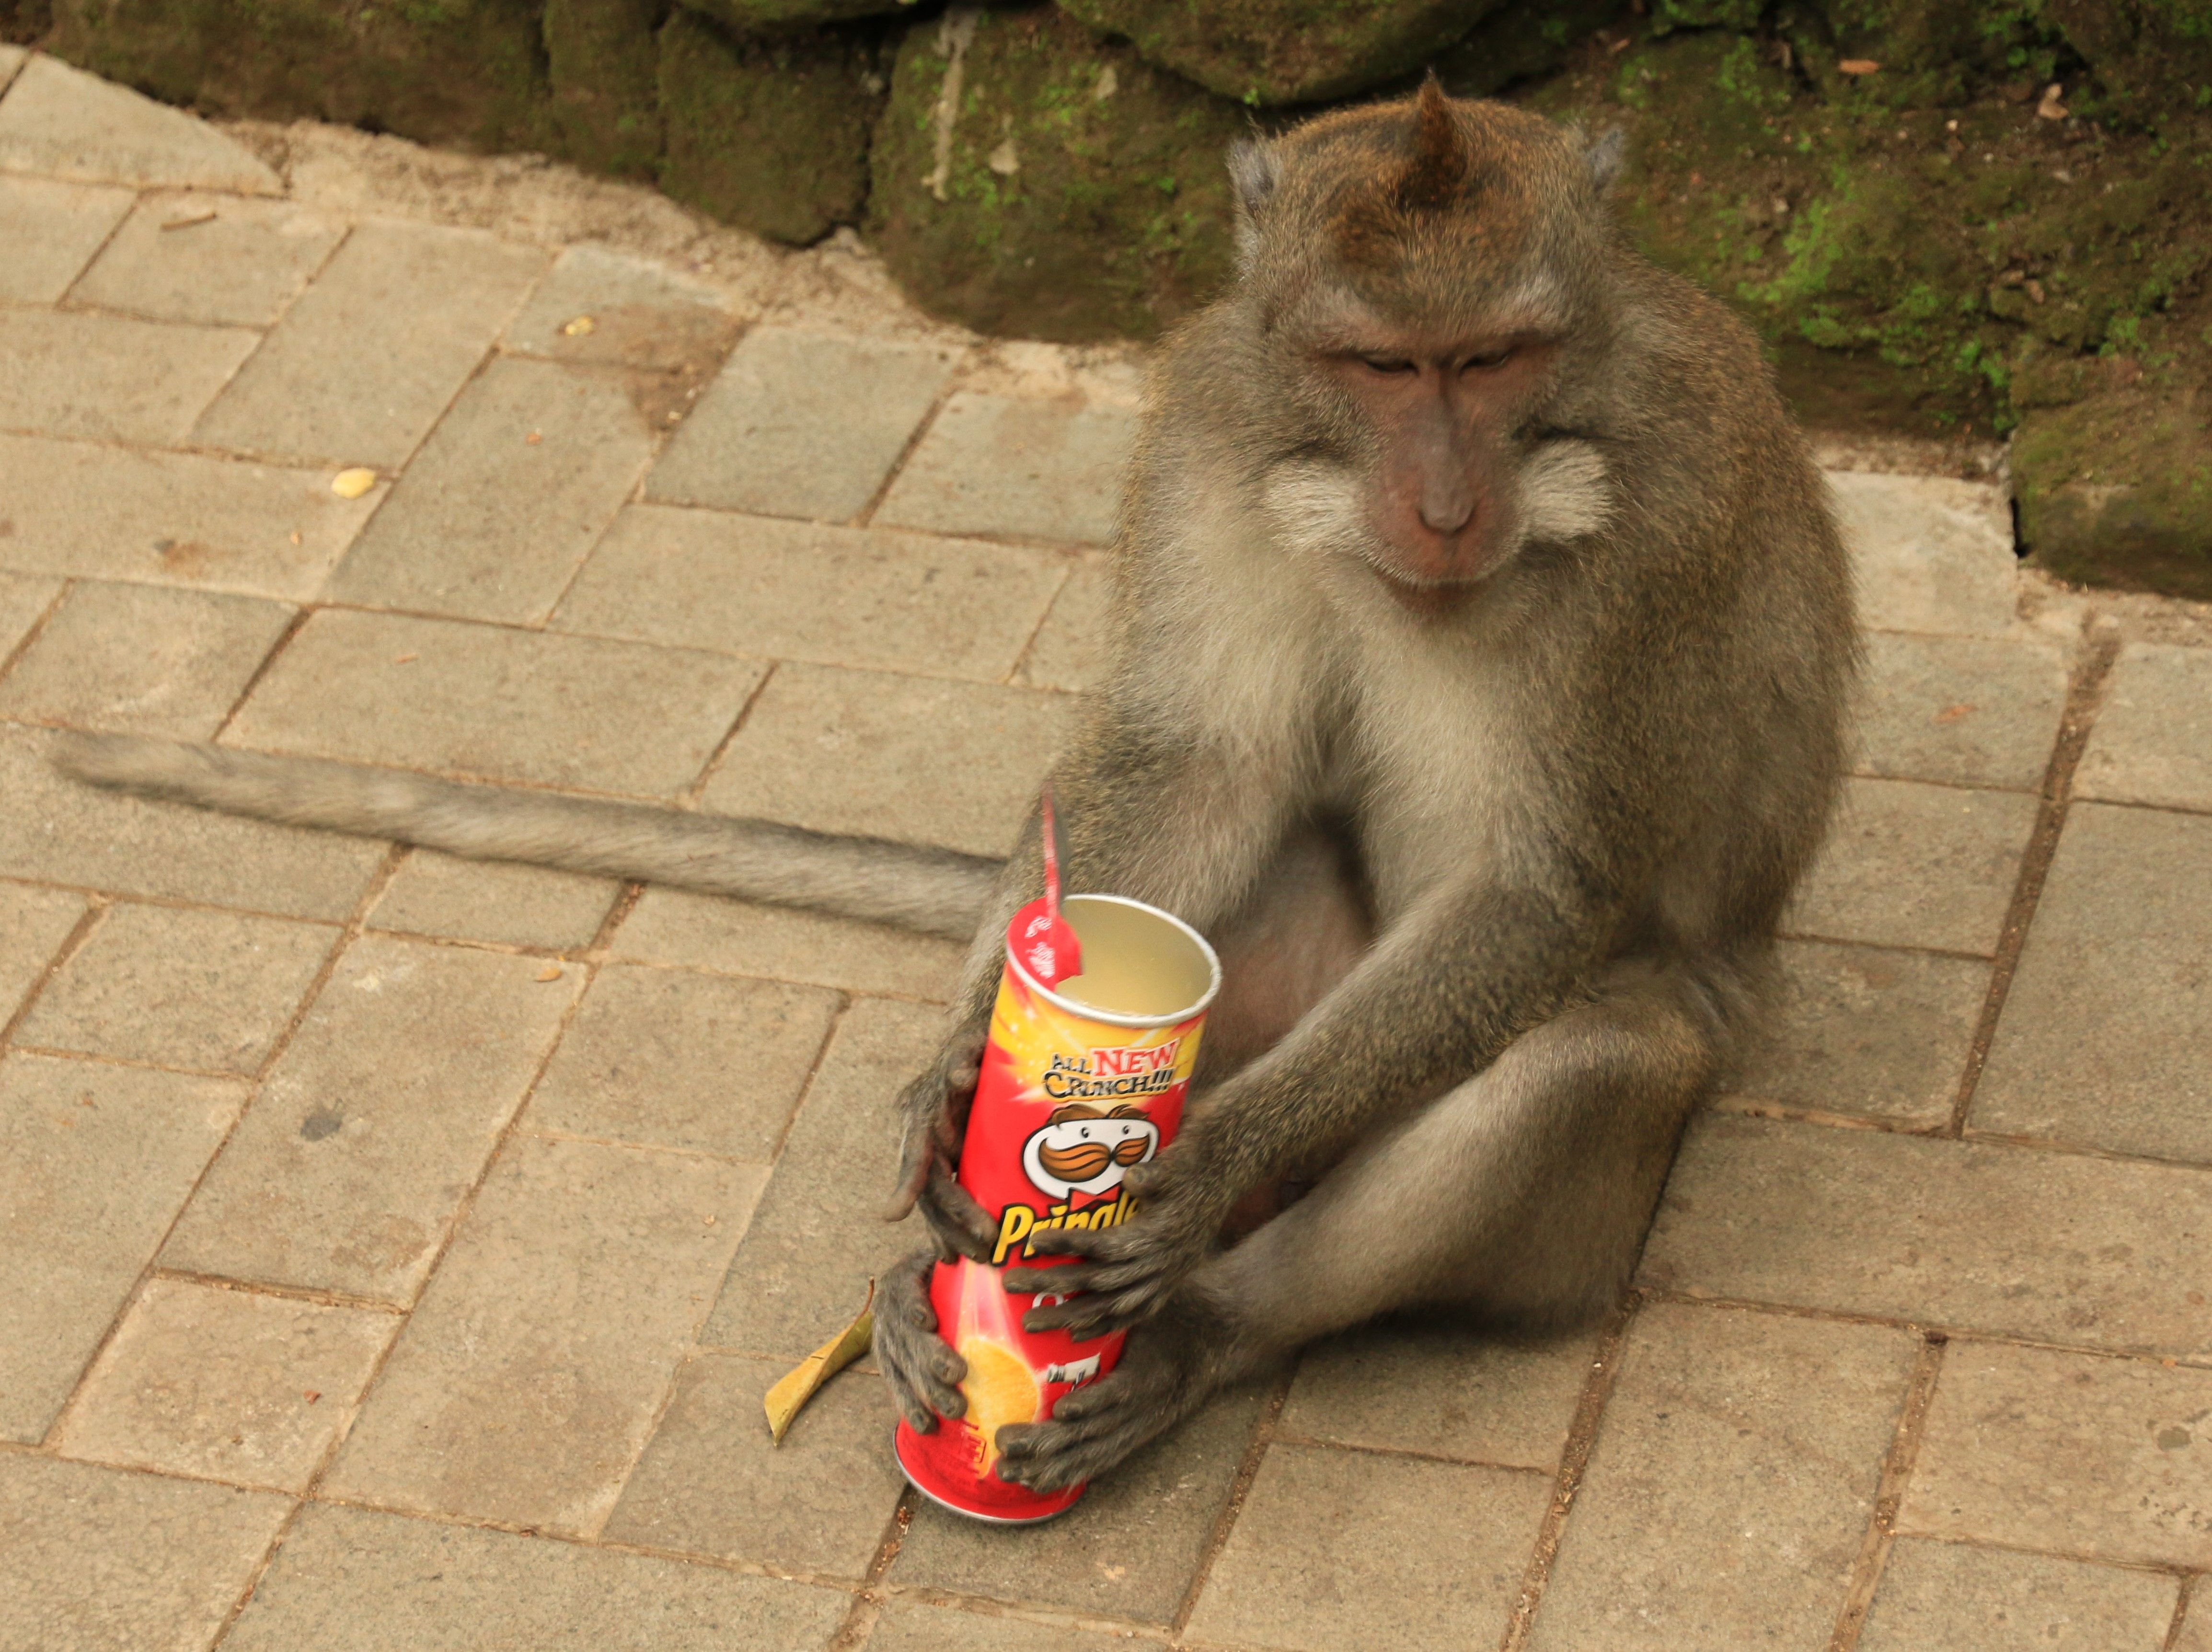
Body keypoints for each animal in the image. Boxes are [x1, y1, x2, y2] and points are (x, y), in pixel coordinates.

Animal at [52, 83, 1854, 1495]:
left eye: (1493, 358)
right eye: (1379, 367)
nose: (1443, 499)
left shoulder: (1657, 538)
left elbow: (1537, 895)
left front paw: (1190, 1171)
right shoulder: (1208, 423)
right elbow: (1195, 763)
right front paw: (959, 1074)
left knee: (1595, 1048)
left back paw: (1192, 1325)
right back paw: (926, 1286)